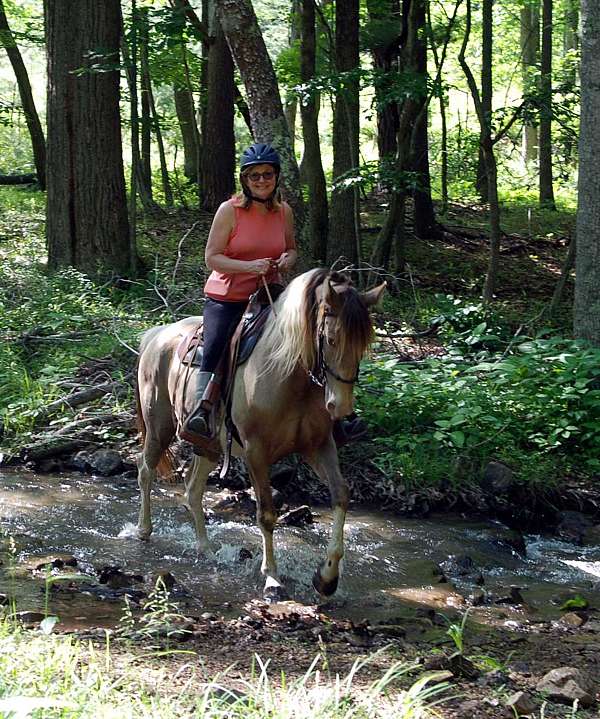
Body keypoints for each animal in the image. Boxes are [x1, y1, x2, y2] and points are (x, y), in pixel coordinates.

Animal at [134, 268, 386, 600]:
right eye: (331, 339)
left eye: (364, 345)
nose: (340, 407)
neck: (287, 375)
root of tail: (155, 334)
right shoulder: (256, 452)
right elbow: (266, 513)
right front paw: (272, 579)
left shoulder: (319, 446)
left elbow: (341, 495)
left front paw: (327, 578)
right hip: (159, 427)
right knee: (145, 470)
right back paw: (143, 531)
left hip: (209, 446)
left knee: (192, 489)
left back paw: (205, 547)